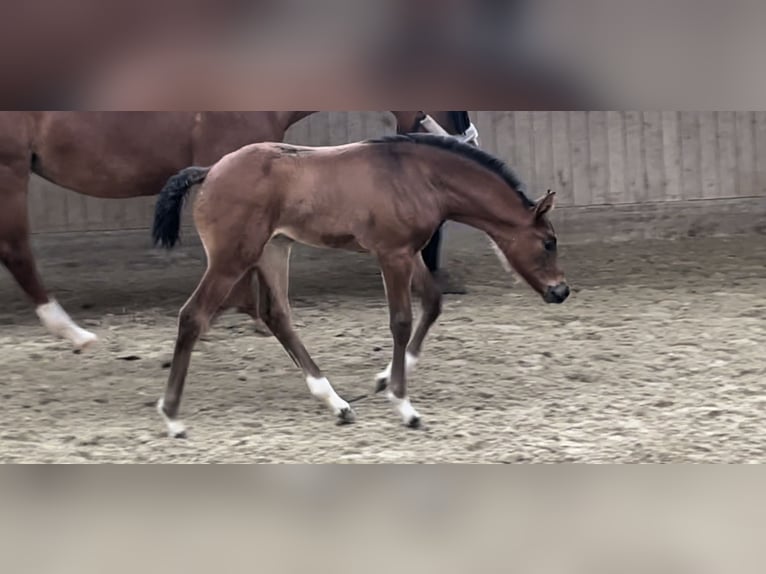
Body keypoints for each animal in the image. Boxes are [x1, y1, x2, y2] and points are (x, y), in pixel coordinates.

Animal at [152, 133, 568, 438]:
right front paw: (404, 405)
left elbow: (433, 302)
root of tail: (210, 171)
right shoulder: (392, 254)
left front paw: (383, 380)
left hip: (273, 249)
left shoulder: (410, 252)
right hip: (233, 258)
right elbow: (401, 320)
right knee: (194, 316)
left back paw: (337, 404)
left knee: (276, 315)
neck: (418, 176)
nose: (561, 291)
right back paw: (172, 416)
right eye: (548, 242)